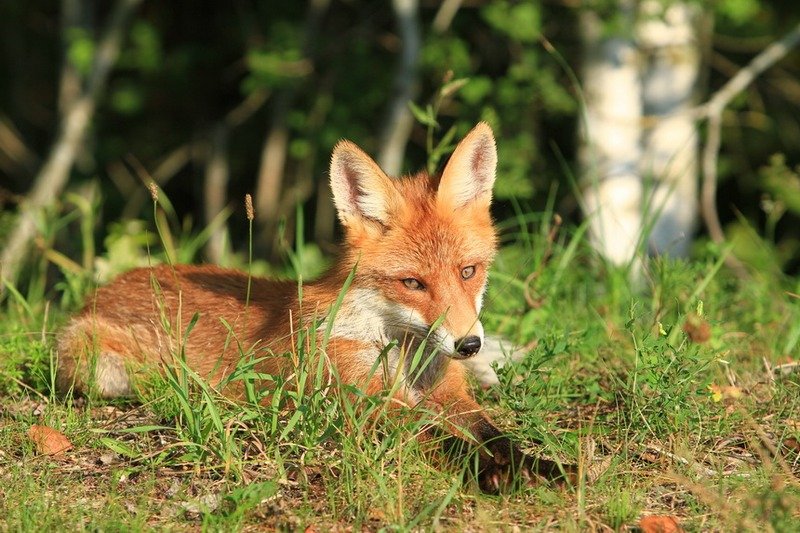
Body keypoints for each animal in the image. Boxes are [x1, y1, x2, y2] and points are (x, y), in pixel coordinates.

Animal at [54, 122, 568, 492]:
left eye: (468, 272)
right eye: (412, 283)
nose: (468, 344)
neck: (400, 353)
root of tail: (109, 285)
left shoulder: (449, 394)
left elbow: (497, 434)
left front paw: (540, 465)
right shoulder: (367, 407)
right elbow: (447, 440)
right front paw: (490, 471)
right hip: (104, 371)